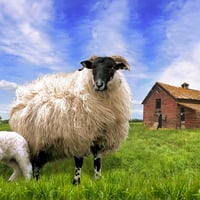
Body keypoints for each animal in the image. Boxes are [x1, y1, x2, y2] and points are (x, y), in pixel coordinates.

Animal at [9, 55, 132, 184]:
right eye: (93, 67)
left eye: (112, 67)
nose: (98, 84)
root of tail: (22, 94)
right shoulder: (78, 137)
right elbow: (79, 163)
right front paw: (76, 182)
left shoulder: (99, 138)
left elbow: (97, 163)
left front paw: (97, 180)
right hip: (33, 141)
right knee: (34, 164)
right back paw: (35, 181)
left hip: (44, 143)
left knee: (38, 163)